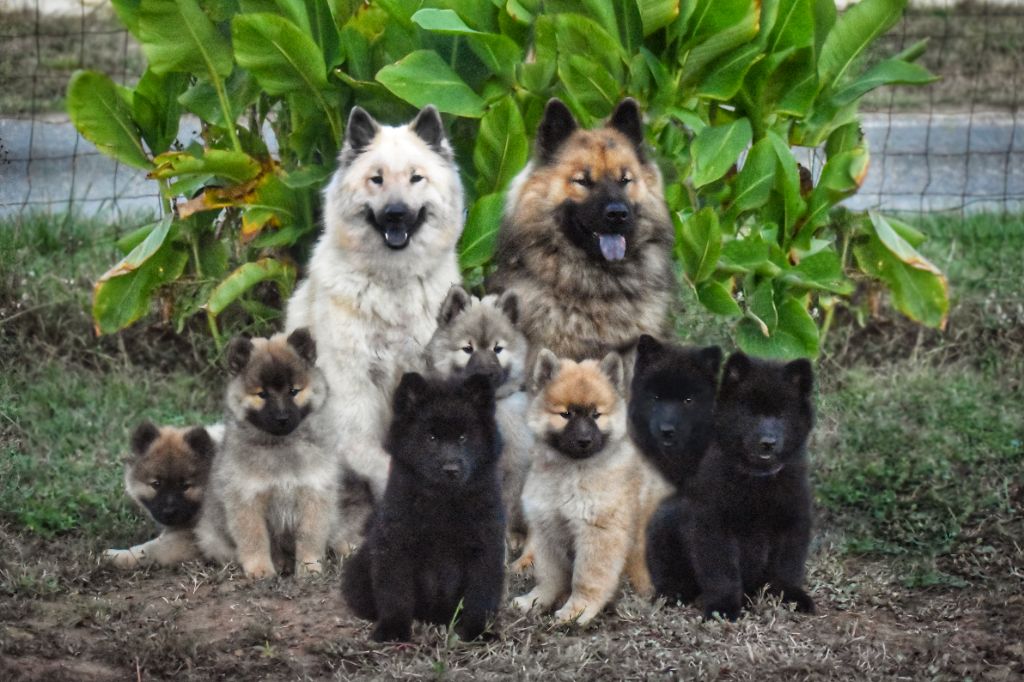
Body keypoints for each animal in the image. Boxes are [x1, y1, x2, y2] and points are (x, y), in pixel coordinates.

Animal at [195, 327, 344, 577]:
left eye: (293, 391)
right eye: (262, 394)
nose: (282, 418)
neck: (280, 445)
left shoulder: (314, 493)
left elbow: (310, 536)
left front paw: (309, 567)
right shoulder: (247, 498)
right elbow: (255, 538)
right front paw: (260, 569)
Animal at [342, 368, 505, 638]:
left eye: (463, 437)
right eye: (431, 437)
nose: (451, 469)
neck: (443, 501)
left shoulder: (485, 546)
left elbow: (479, 595)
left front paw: (476, 631)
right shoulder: (395, 545)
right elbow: (395, 593)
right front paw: (393, 630)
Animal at [512, 352, 671, 622]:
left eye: (596, 415)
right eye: (566, 414)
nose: (584, 440)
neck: (572, 472)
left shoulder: (598, 533)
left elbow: (587, 578)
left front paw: (578, 611)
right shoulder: (547, 529)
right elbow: (549, 576)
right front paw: (536, 600)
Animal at [647, 350, 815, 614]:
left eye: (781, 415)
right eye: (749, 413)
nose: (768, 443)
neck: (757, 479)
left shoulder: (793, 520)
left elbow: (787, 567)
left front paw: (790, 597)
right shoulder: (713, 523)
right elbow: (722, 571)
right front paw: (723, 606)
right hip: (663, 523)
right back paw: (673, 594)